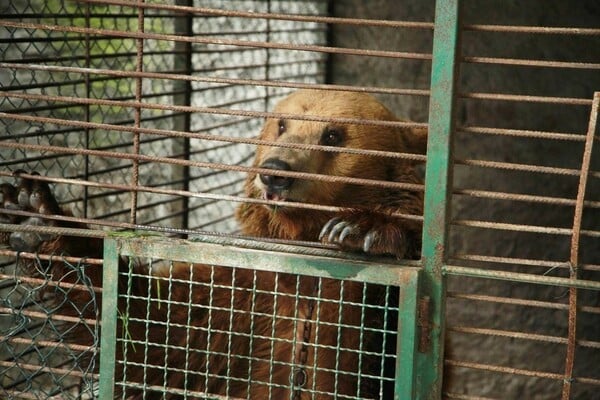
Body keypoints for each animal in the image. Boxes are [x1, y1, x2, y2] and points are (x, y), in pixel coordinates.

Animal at [1, 89, 426, 398]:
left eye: (333, 134)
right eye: (282, 124)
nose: (276, 171)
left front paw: (361, 229)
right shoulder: (245, 301)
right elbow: (150, 335)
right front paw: (36, 216)